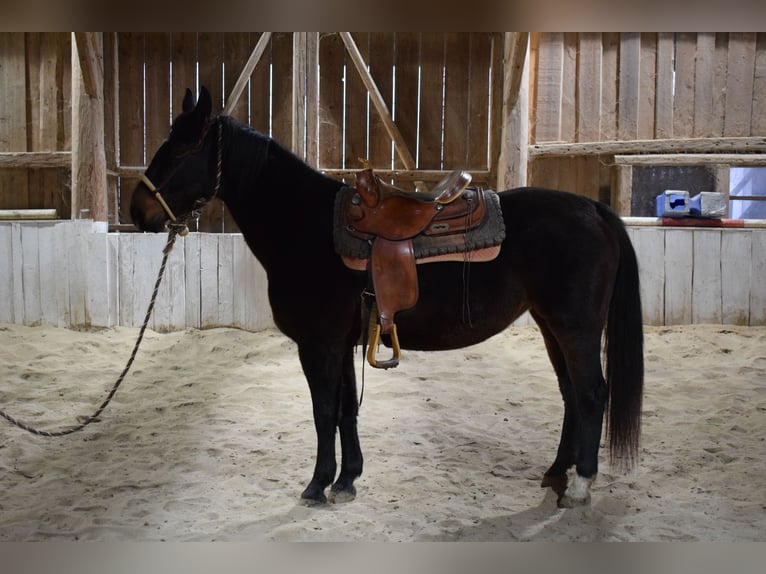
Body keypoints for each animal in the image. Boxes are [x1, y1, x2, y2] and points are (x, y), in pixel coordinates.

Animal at [130, 86, 640, 508]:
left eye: (181, 150)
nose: (136, 210)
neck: (305, 226)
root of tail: (595, 210)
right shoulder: (340, 344)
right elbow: (345, 410)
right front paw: (347, 479)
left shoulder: (318, 344)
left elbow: (324, 411)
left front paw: (317, 484)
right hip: (550, 324)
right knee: (571, 393)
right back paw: (557, 473)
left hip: (575, 327)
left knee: (591, 393)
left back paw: (580, 485)